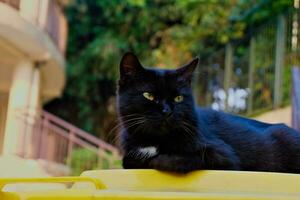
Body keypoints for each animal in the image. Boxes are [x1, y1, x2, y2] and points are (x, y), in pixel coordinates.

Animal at [116, 52, 300, 173]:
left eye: (178, 98)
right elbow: (128, 160)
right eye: (149, 95)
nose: (166, 111)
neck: (155, 141)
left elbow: (185, 158)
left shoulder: (225, 158)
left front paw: (158, 160)